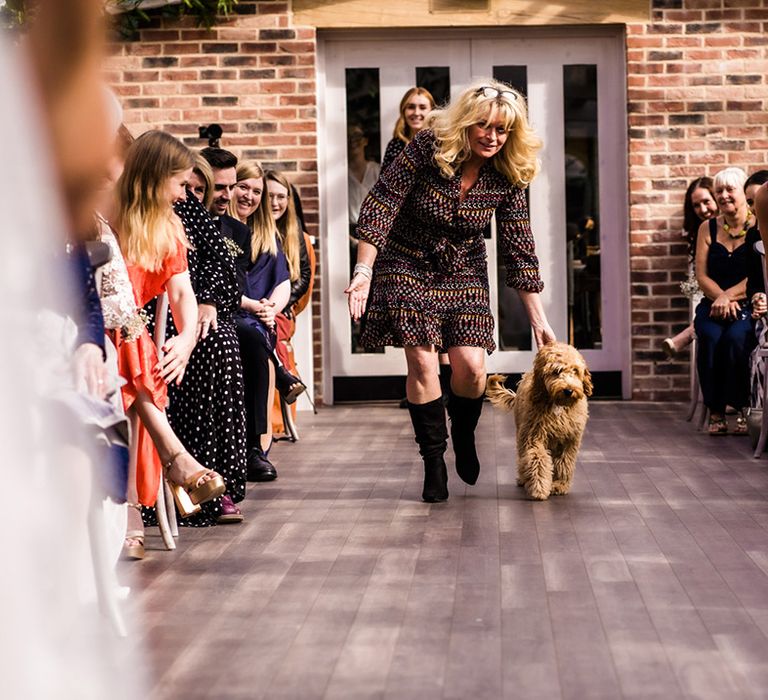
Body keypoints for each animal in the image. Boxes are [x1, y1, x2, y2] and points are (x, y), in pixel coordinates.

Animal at [488, 342, 592, 500]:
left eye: (575, 370)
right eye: (556, 371)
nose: (568, 390)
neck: (558, 405)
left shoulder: (570, 440)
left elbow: (565, 462)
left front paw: (559, 484)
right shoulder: (533, 435)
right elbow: (537, 459)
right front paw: (539, 487)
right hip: (521, 430)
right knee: (522, 456)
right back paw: (523, 478)